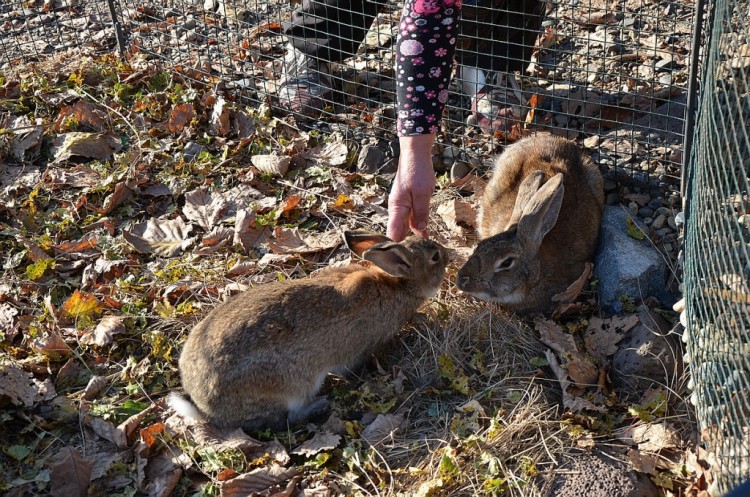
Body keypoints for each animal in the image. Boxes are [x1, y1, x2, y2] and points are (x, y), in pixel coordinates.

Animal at [172, 232, 446, 430]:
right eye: (435, 257)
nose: (448, 254)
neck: (395, 284)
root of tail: (207, 408)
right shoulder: (357, 351)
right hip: (292, 386)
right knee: (289, 417)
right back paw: (318, 404)